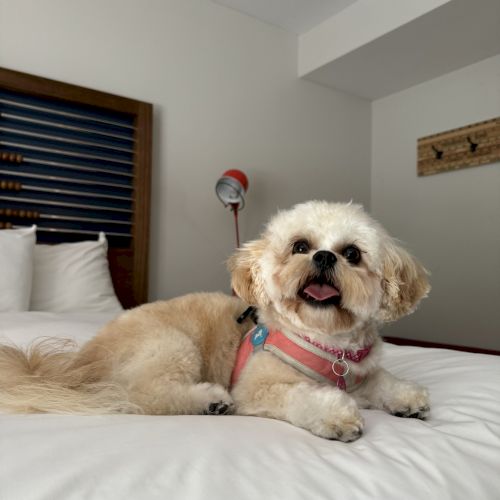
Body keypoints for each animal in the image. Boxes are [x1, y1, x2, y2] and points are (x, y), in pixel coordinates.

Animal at [0, 201, 430, 440]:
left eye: (352, 253)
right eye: (300, 247)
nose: (324, 256)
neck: (324, 339)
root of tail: (79, 363)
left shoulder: (359, 373)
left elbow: (383, 381)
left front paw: (407, 398)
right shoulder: (257, 388)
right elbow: (303, 395)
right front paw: (336, 415)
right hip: (172, 344)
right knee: (140, 396)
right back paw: (209, 400)